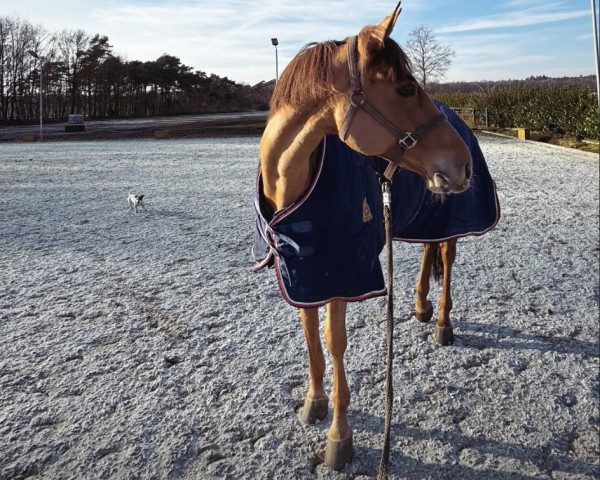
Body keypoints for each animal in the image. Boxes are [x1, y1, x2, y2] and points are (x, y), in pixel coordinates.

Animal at [255, 1, 472, 470]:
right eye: (405, 89)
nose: (462, 164)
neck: (292, 184)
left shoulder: (342, 274)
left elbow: (335, 342)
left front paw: (339, 437)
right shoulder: (305, 271)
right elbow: (310, 333)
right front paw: (313, 402)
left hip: (451, 218)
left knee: (447, 257)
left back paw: (442, 323)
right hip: (428, 211)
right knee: (429, 252)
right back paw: (421, 307)